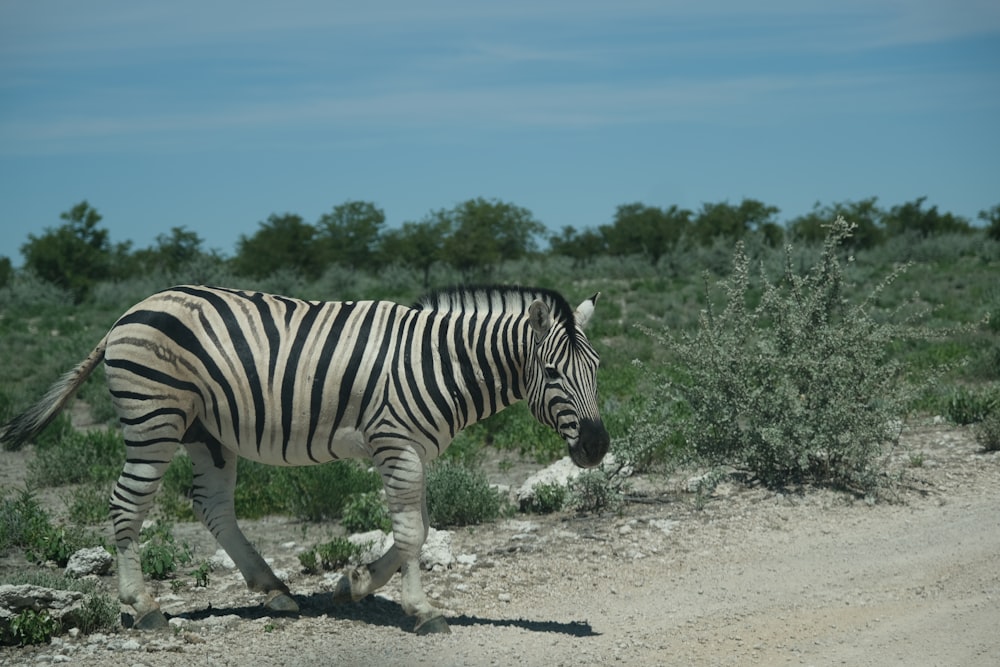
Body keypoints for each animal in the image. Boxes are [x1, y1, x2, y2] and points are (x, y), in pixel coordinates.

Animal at [1, 284, 608, 636]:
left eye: (598, 367)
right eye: (552, 373)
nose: (598, 446)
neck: (440, 362)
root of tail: (124, 315)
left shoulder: (414, 450)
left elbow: (419, 527)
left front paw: (355, 583)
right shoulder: (396, 442)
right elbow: (413, 533)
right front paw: (421, 611)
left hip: (204, 431)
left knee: (211, 506)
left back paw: (273, 590)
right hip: (156, 418)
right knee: (128, 505)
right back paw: (146, 607)